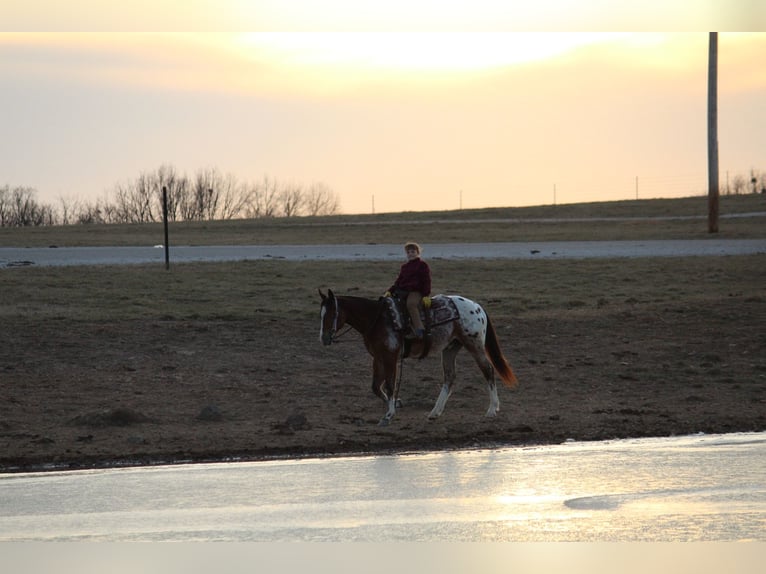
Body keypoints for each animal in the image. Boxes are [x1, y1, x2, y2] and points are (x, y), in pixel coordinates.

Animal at [319, 289, 518, 425]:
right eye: (320, 315)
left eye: (331, 314)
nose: (324, 338)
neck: (377, 320)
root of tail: (477, 307)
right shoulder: (378, 357)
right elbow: (376, 387)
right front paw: (396, 404)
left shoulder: (390, 356)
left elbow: (389, 385)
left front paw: (389, 414)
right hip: (450, 348)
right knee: (450, 377)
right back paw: (435, 412)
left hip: (474, 345)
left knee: (488, 370)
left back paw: (492, 409)